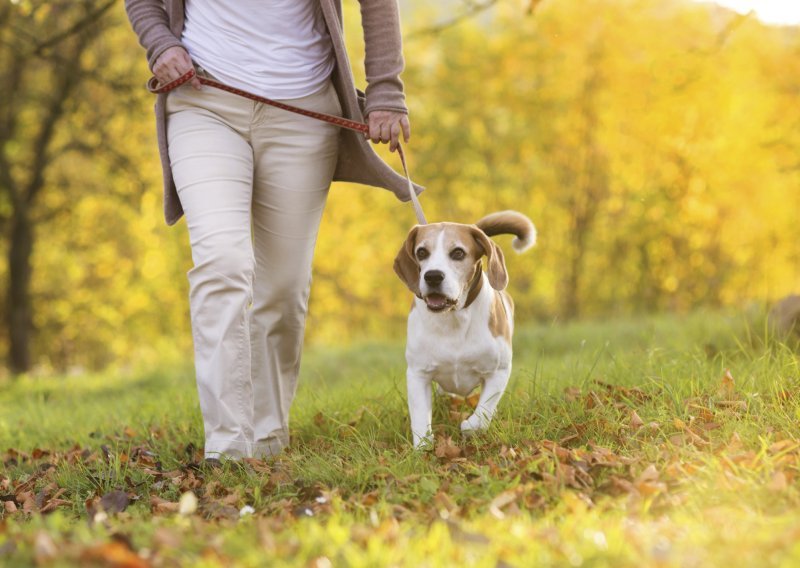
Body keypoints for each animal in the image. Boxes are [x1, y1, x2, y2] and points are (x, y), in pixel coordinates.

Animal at [396, 211, 536, 446]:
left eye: (458, 253)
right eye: (421, 252)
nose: (433, 276)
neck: (453, 318)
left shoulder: (499, 371)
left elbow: (483, 413)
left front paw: (469, 426)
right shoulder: (418, 374)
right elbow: (420, 417)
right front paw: (423, 447)